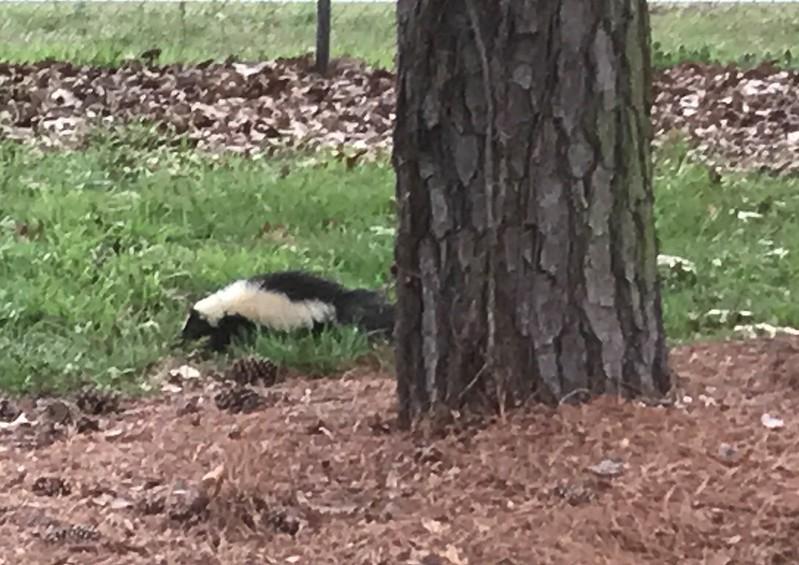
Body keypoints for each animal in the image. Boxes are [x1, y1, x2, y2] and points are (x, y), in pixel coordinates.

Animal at [180, 270, 396, 350]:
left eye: (193, 326)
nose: (181, 338)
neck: (225, 304)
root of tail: (337, 299)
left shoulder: (238, 319)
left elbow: (228, 337)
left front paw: (209, 349)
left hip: (312, 320)